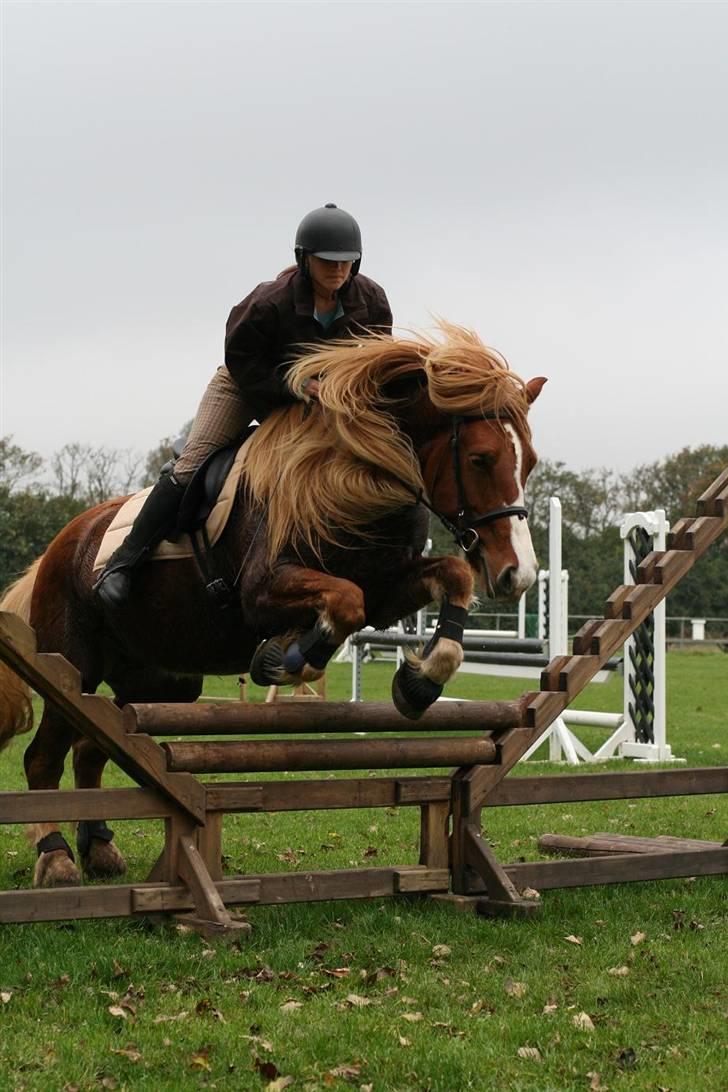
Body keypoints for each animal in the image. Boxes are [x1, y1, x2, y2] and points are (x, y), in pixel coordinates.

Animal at [0, 321, 545, 886]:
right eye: (480, 459)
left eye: (528, 463)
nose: (518, 573)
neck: (353, 474)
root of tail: (54, 550)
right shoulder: (260, 592)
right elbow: (342, 602)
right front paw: (285, 658)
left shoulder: (386, 590)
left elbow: (444, 579)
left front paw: (419, 682)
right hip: (75, 667)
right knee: (43, 757)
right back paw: (58, 857)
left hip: (156, 681)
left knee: (91, 747)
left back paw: (100, 848)